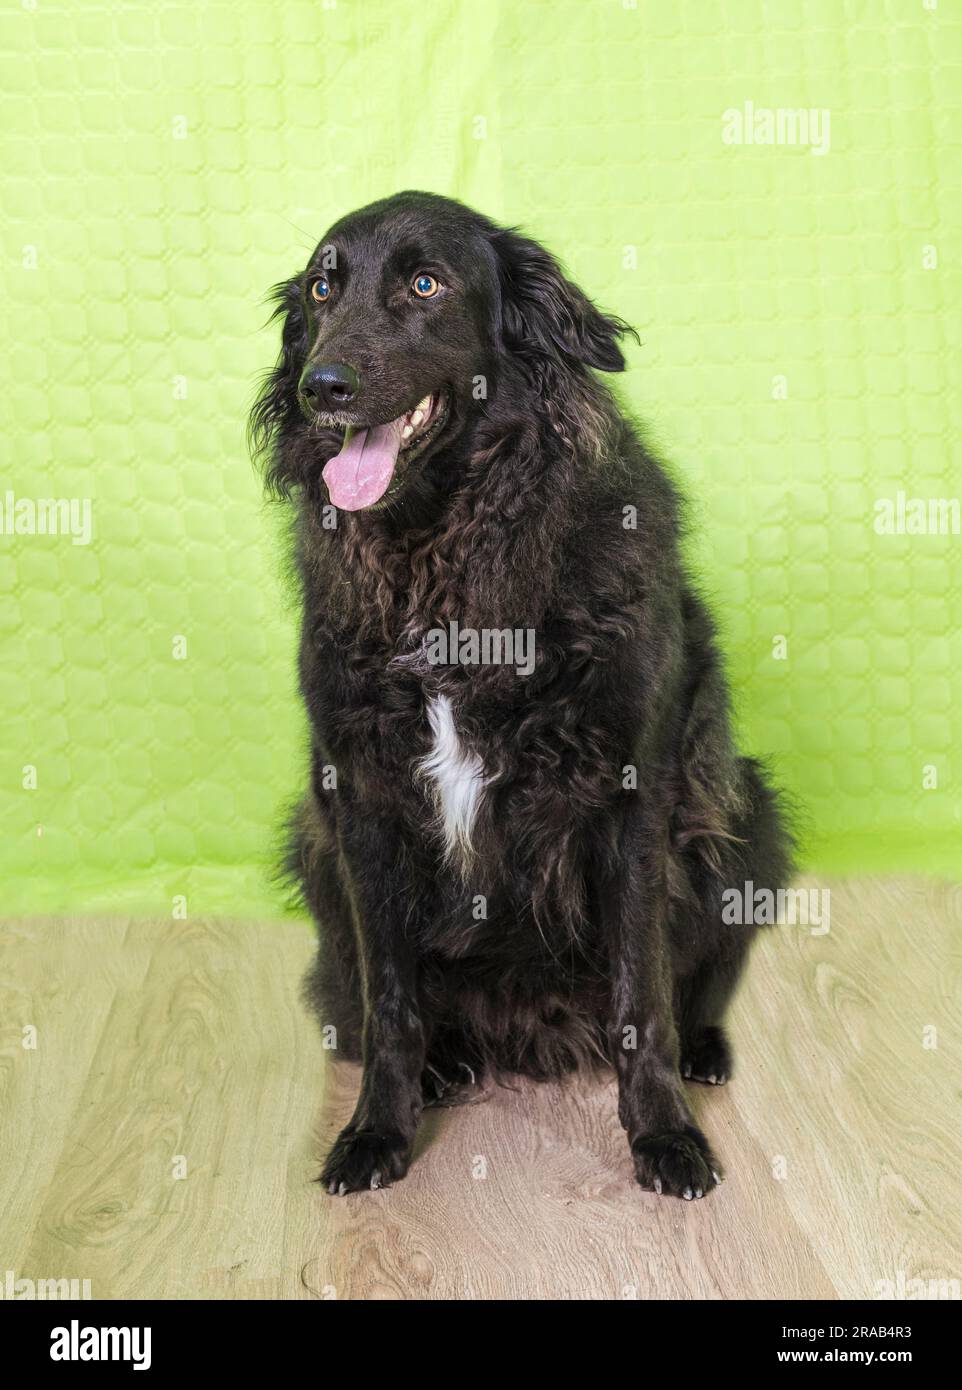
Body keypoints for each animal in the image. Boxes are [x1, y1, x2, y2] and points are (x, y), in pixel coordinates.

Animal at [251, 190, 795, 1200]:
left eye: (426, 284)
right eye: (321, 287)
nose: (321, 384)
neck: (443, 557)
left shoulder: (634, 798)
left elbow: (642, 993)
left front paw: (664, 1134)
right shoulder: (361, 799)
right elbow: (388, 1003)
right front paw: (377, 1131)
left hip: (746, 807)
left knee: (697, 977)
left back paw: (702, 1051)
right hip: (312, 841)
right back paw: (446, 1063)